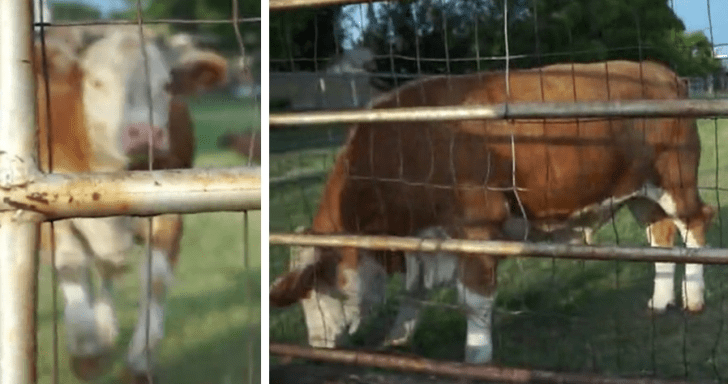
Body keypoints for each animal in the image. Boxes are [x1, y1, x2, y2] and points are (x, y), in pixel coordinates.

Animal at [34, 29, 226, 380]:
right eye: (96, 82)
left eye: (166, 85)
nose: (145, 133)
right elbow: (71, 264)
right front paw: (86, 349)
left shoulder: (171, 211)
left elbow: (156, 280)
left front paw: (140, 360)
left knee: (109, 268)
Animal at [270, 60, 712, 364]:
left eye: (314, 291)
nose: (317, 346)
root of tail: (658, 70)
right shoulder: (425, 239)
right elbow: (414, 295)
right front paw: (396, 339)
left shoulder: (477, 226)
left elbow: (474, 300)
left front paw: (476, 356)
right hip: (638, 192)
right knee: (660, 235)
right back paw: (659, 301)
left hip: (676, 178)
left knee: (695, 223)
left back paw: (694, 298)